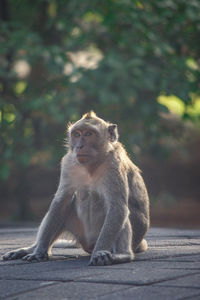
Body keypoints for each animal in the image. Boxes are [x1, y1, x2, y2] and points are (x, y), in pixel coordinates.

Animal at [3, 111, 149, 266]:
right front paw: (39, 251)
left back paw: (122, 255)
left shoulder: (114, 165)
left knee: (121, 213)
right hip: (79, 231)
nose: (79, 146)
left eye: (89, 134)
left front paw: (100, 252)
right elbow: (61, 201)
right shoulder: (69, 162)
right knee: (66, 206)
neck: (92, 165)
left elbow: (117, 208)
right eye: (77, 134)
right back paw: (32, 249)